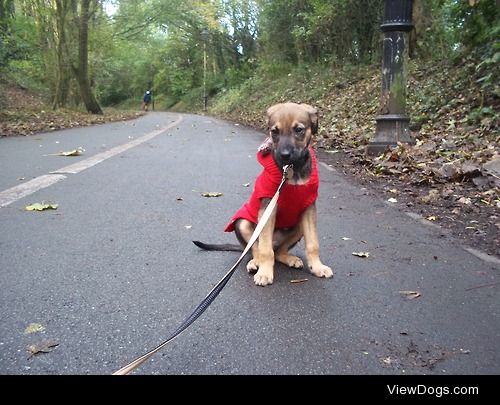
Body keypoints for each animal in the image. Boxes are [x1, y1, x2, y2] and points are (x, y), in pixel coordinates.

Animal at [194, 102, 332, 286]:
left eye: (299, 130)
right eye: (274, 131)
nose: (284, 155)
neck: (291, 172)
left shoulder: (308, 209)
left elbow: (313, 244)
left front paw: (317, 267)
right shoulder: (268, 208)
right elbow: (265, 250)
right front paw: (265, 272)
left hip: (298, 226)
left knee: (278, 251)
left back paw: (289, 258)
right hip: (242, 224)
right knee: (256, 249)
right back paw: (255, 263)